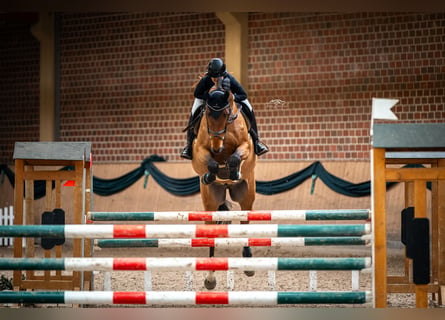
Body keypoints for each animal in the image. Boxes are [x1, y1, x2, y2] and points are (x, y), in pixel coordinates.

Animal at [189, 80, 255, 290]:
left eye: (226, 114)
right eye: (208, 115)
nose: (217, 148)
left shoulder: (245, 146)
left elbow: (235, 156)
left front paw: (233, 171)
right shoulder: (199, 150)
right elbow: (209, 162)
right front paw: (211, 173)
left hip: (246, 196)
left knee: (246, 222)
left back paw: (248, 263)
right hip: (211, 201)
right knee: (211, 232)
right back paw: (210, 277)